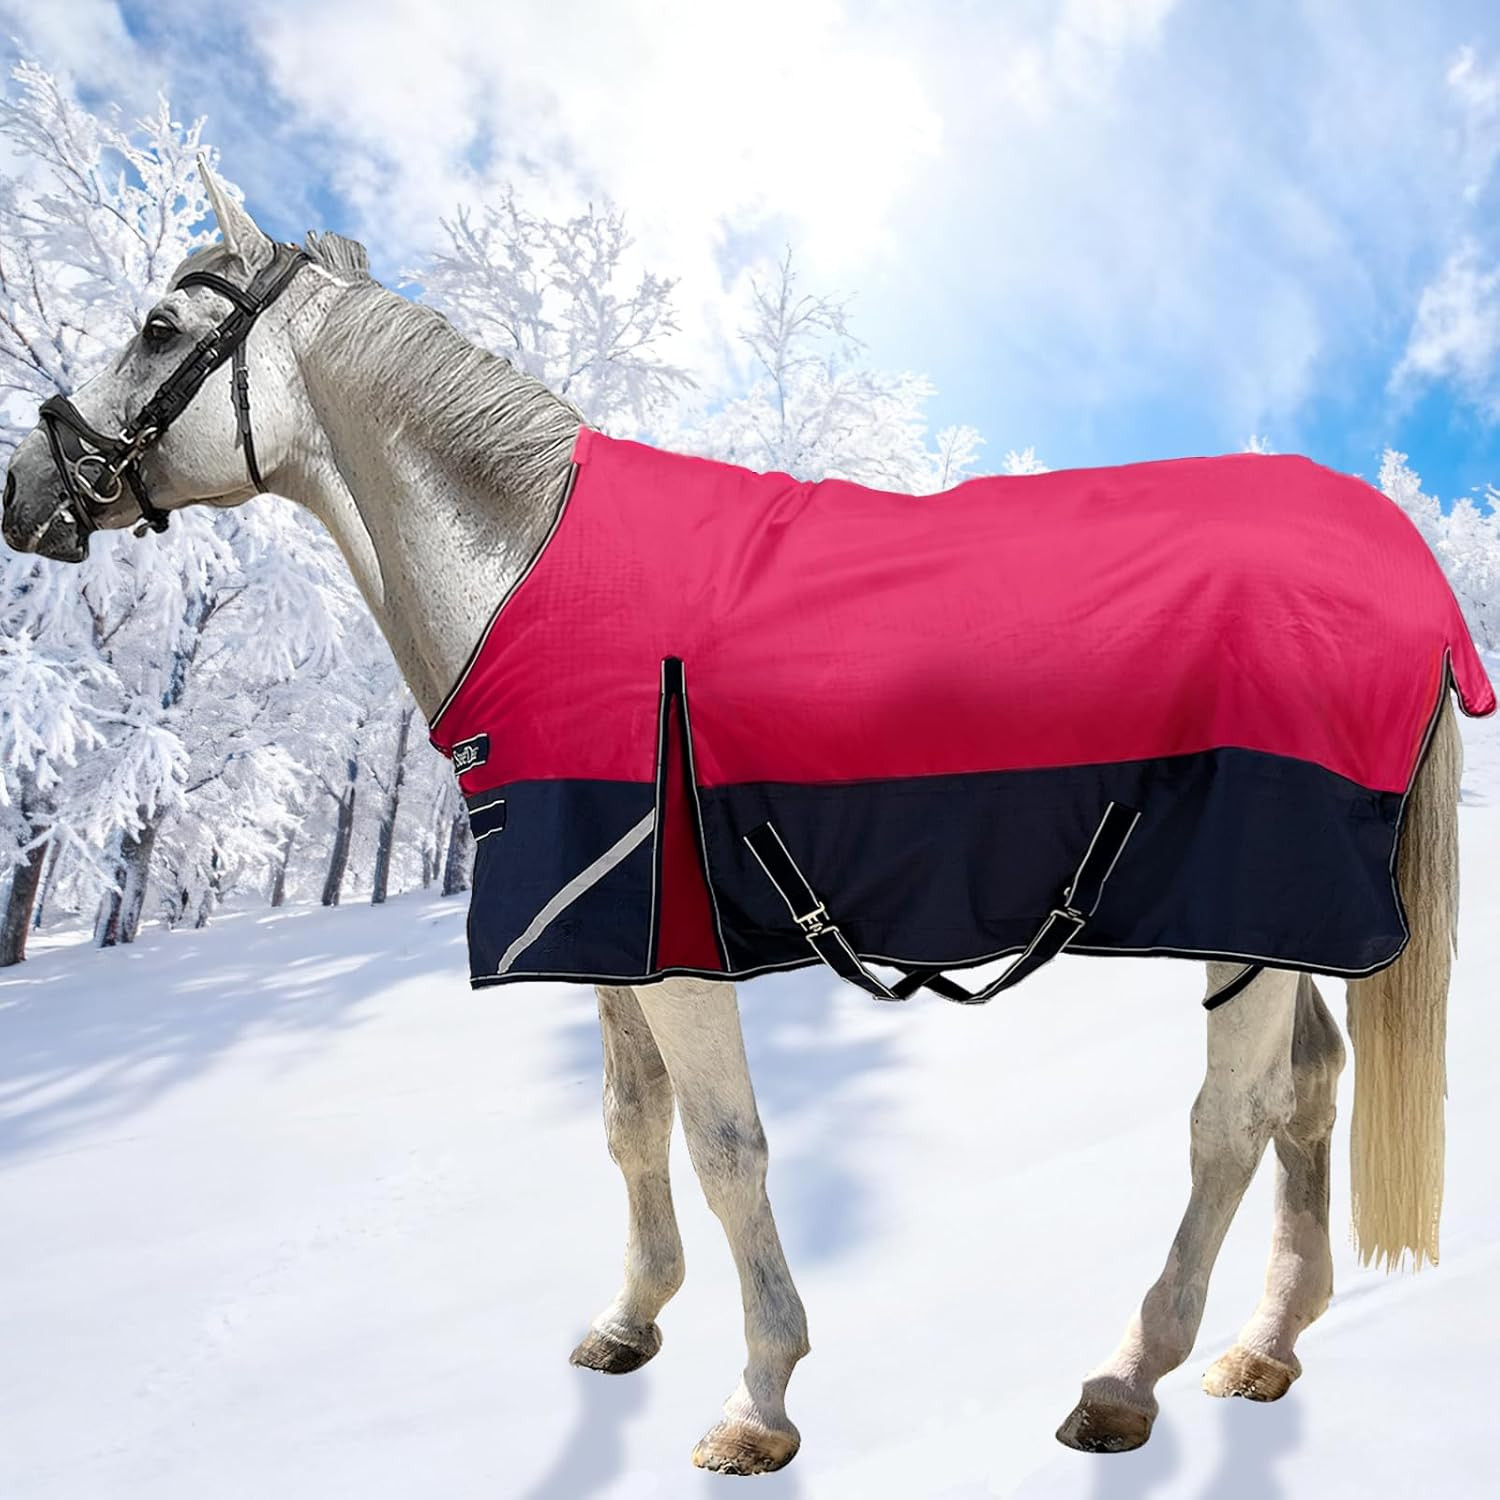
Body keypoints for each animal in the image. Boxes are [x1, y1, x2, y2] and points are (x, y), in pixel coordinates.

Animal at [0, 163, 1475, 1476]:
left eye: (159, 328)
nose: (24, 490)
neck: (532, 573)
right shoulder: (602, 925)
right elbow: (629, 1120)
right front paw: (630, 1319)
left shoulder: (677, 946)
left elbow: (725, 1146)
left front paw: (761, 1396)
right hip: (1286, 921)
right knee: (1312, 1091)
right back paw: (1267, 1344)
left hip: (1247, 911)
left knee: (1233, 1119)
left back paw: (1128, 1377)